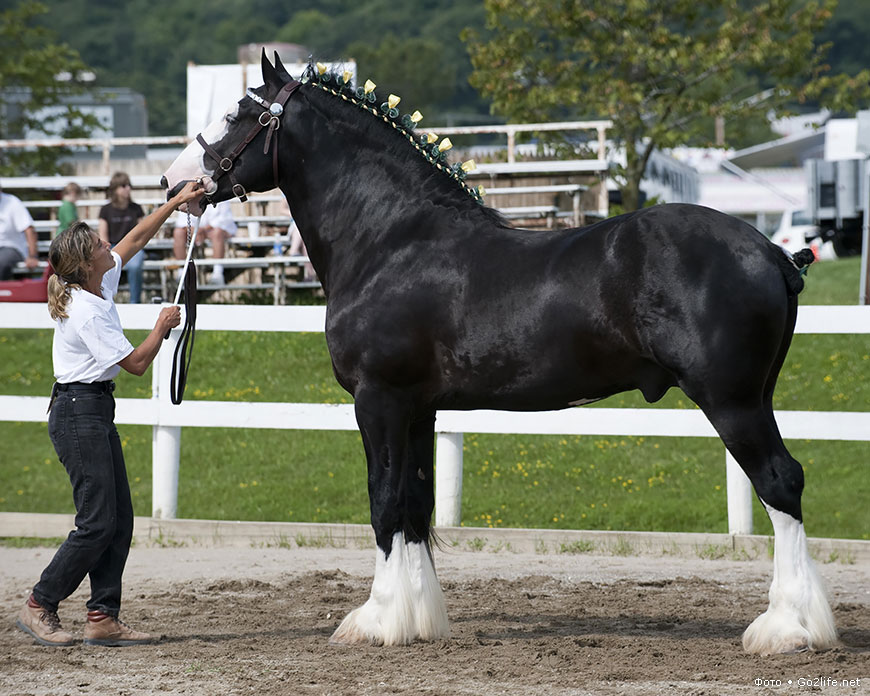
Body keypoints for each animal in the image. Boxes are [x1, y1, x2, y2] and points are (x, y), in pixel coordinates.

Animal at [164, 53, 836, 652]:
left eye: (238, 113)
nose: (175, 184)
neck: (392, 239)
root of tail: (772, 252)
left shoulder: (378, 400)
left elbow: (384, 504)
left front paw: (377, 621)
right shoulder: (418, 408)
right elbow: (415, 505)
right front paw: (418, 621)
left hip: (732, 401)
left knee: (780, 483)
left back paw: (787, 629)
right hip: (755, 396)